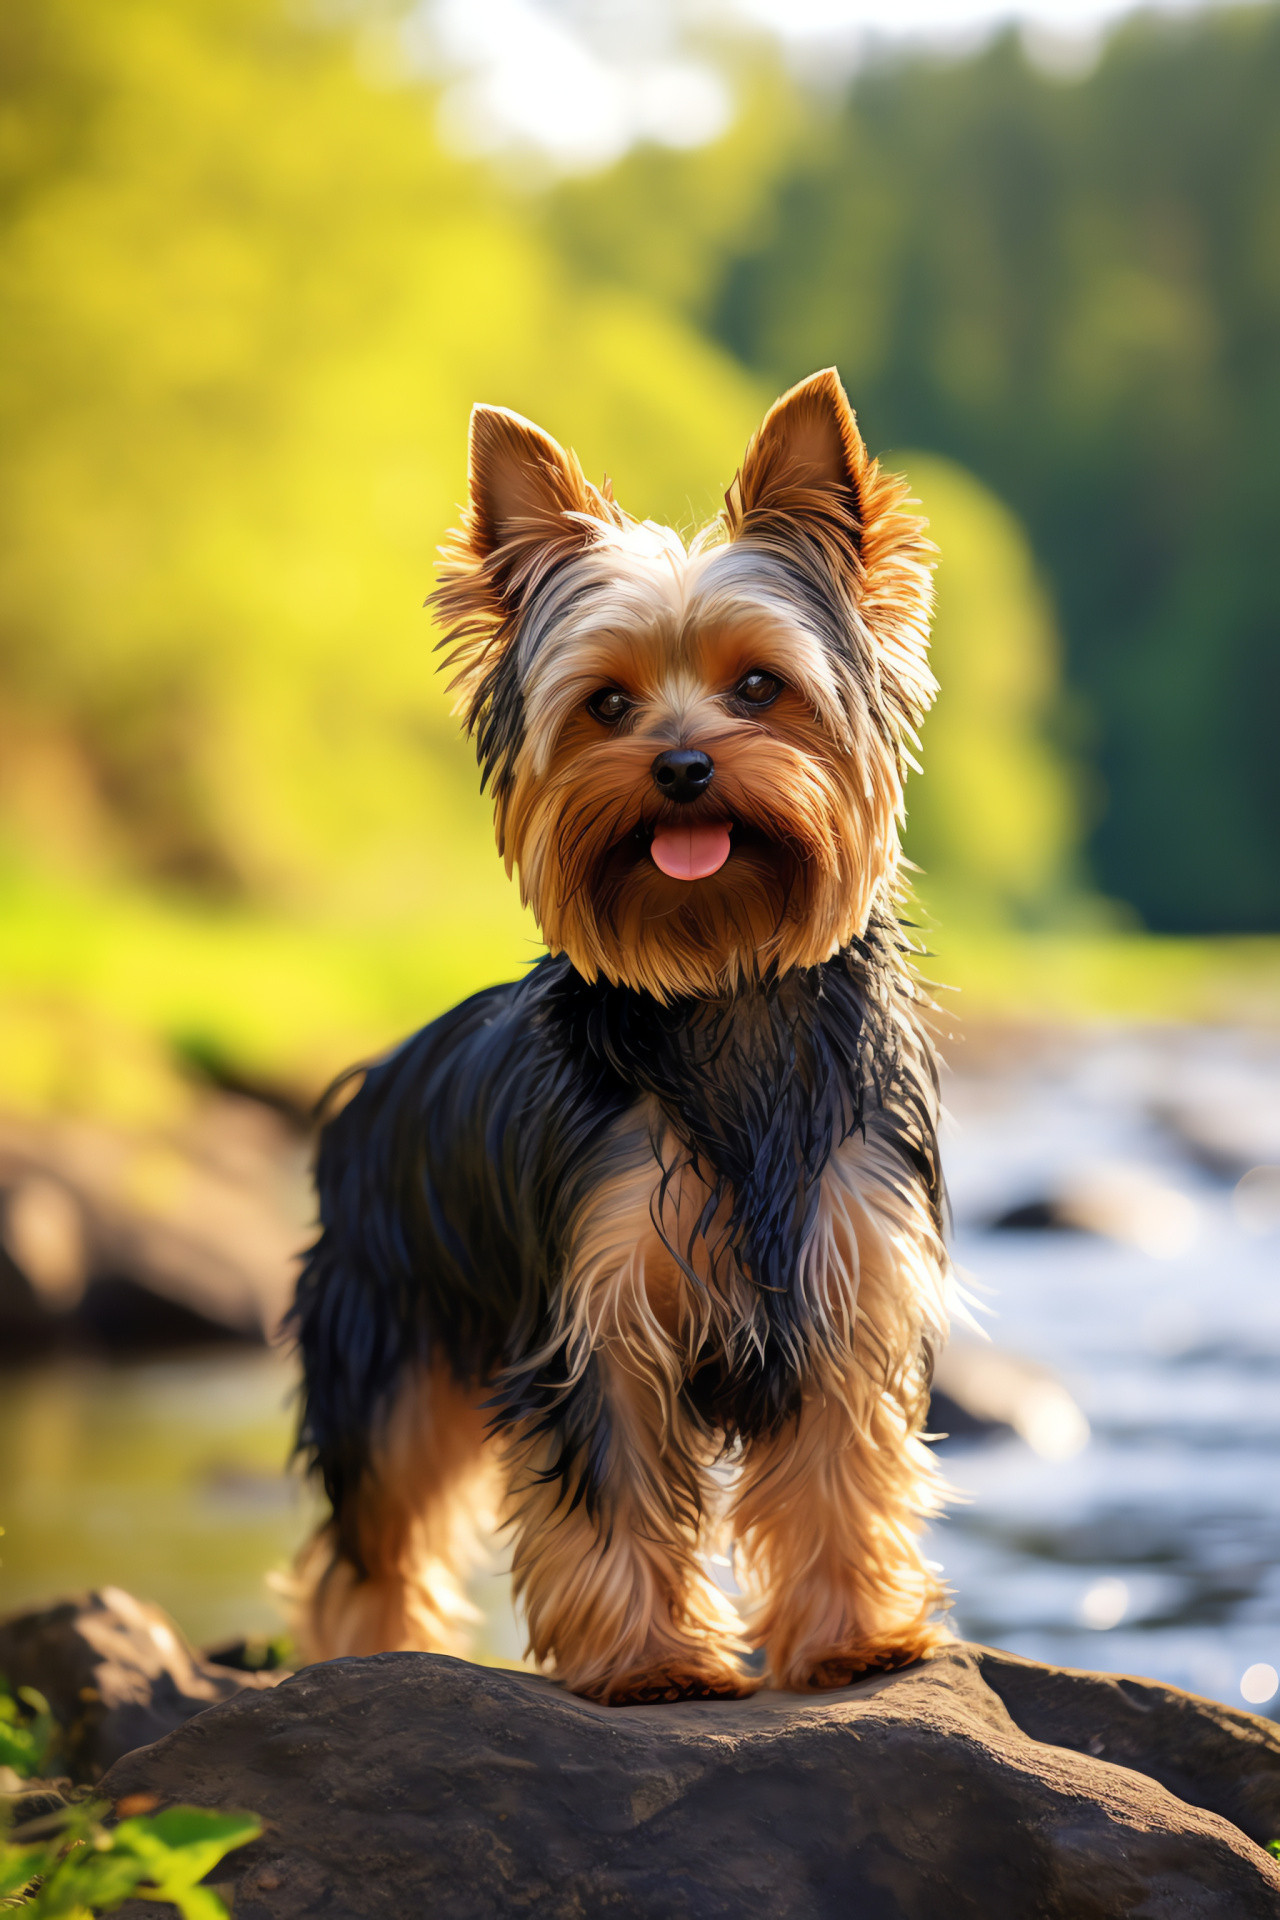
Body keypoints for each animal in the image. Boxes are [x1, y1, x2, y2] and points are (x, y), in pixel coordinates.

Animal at [289, 366, 951, 1704]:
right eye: (604, 704)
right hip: (384, 1334)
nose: (682, 765)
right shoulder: (595, 1317)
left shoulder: (846, 1285)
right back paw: (374, 1658)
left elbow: (841, 1477)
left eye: (759, 687)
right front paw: (652, 1662)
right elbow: (615, 1495)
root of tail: (372, 1080)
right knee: (372, 1536)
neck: (726, 992)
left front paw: (854, 1636)